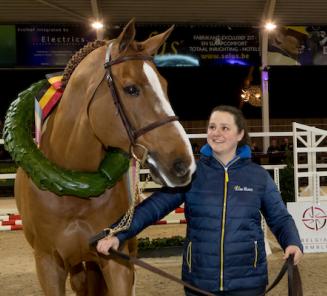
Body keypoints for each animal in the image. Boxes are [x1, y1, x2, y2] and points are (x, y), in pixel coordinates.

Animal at [14, 19, 195, 294]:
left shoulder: (116, 262)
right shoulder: (48, 265)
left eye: (164, 87)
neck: (74, 189)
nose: (183, 164)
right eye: (131, 89)